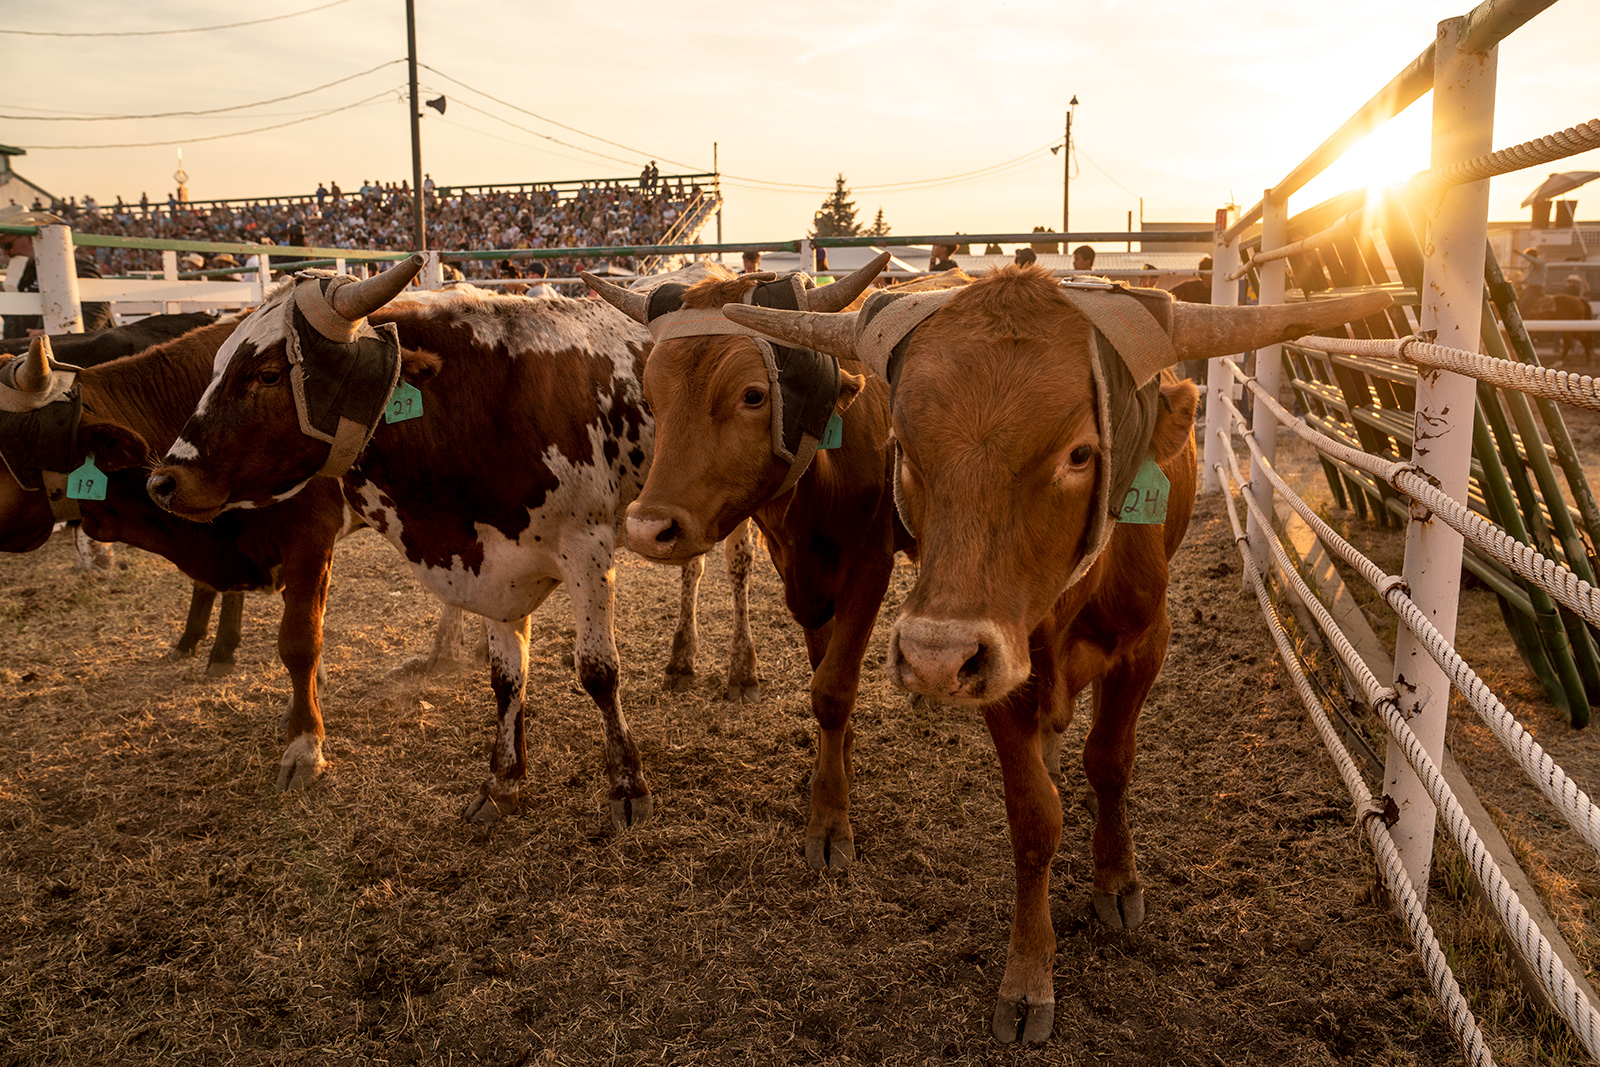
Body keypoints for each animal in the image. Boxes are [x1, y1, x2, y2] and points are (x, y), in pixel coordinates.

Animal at [145, 262, 755, 831]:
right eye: (216, 369)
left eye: (268, 374)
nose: (165, 481)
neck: (486, 401)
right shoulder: (492, 564)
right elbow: (507, 679)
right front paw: (503, 783)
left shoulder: (588, 549)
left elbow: (598, 671)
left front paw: (627, 785)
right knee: (691, 566)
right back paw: (681, 658)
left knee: (736, 569)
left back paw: (740, 670)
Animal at [588, 254, 915, 870]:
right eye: (651, 395)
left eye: (754, 396)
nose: (646, 528)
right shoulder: (801, 577)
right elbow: (822, 676)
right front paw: (838, 765)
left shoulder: (870, 565)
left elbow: (834, 689)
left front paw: (830, 819)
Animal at [726, 265, 1388, 1043]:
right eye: (905, 449)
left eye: (1079, 453)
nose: (934, 656)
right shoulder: (1000, 670)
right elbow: (1034, 815)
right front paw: (1028, 975)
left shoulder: (1145, 644)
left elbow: (1110, 762)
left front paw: (1116, 880)